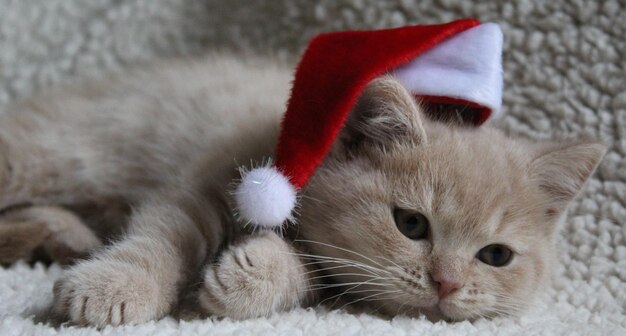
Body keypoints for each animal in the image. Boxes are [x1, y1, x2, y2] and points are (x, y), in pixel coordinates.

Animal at [0, 54, 604, 326]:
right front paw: (113, 286)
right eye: (411, 224)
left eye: (496, 256)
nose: (447, 284)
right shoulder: (206, 182)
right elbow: (164, 237)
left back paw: (64, 235)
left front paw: (250, 278)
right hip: (43, 155)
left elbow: (309, 276)